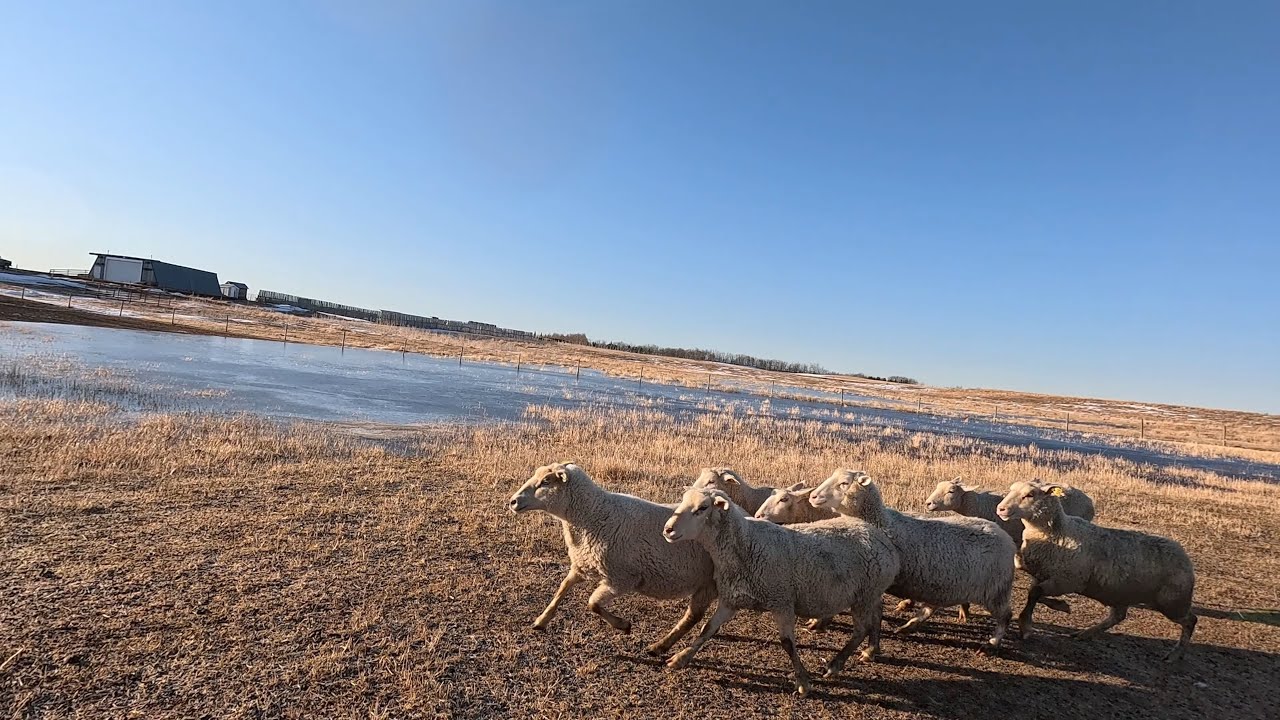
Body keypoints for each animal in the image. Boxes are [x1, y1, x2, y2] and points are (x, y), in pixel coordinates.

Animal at [508, 462, 717, 655]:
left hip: (709, 583)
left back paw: (660, 646)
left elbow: (593, 603)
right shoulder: (583, 563)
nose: (513, 501)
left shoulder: (621, 579)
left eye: (546, 481)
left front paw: (623, 625)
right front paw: (541, 620)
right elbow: (562, 588)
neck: (592, 515)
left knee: (693, 617)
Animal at [662, 487, 900, 697]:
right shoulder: (731, 600)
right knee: (870, 619)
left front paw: (802, 682)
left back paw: (835, 664)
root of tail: (878, 534)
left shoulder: (782, 601)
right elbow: (707, 629)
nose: (667, 530)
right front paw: (681, 657)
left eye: (702, 508)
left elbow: (787, 643)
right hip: (866, 596)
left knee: (861, 629)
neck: (745, 546)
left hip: (865, 595)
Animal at [810, 469, 1015, 649]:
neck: (881, 522)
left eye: (844, 483)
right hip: (946, 584)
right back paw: (908, 626)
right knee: (931, 607)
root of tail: (1006, 537)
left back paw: (993, 642)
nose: (813, 496)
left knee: (1006, 616)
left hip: (995, 590)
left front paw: (818, 621)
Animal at [996, 481, 1197, 662]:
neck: (1059, 531)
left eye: (1030, 494)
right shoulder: (1043, 573)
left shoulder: (1068, 580)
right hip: (1121, 595)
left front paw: (1027, 623)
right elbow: (1034, 592)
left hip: (1172, 601)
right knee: (1118, 617)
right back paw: (1085, 633)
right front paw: (1058, 606)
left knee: (1191, 620)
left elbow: (1035, 593)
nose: (1001, 509)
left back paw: (1175, 654)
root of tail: (1185, 557)